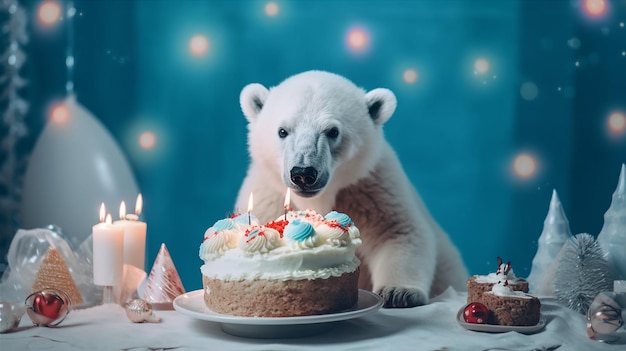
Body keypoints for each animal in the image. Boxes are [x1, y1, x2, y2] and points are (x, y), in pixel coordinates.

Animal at [233, 70, 464, 306]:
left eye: (333, 131)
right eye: (282, 131)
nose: (303, 173)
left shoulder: (372, 187)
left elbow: (399, 231)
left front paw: (397, 293)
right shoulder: (267, 195)